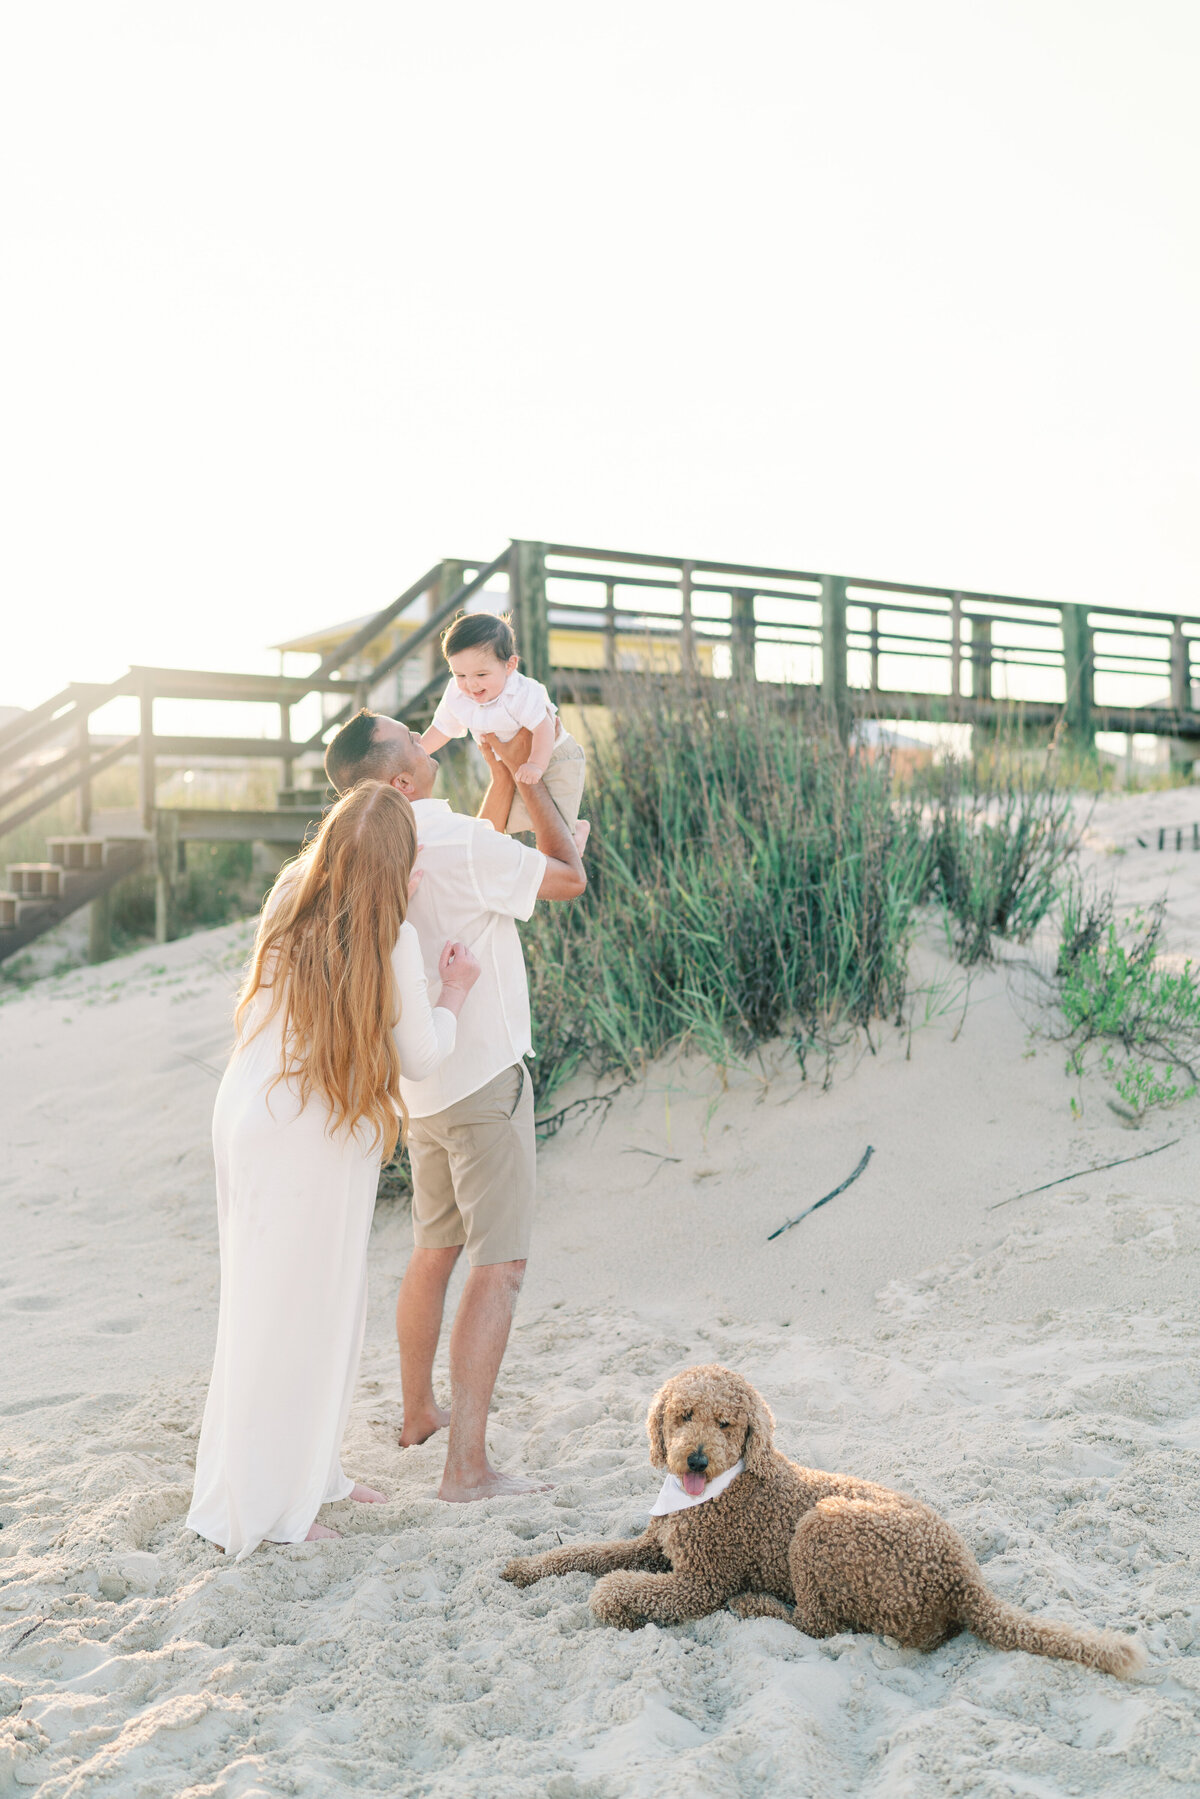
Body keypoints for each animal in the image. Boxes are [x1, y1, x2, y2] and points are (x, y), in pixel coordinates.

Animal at [503, 1367, 1144, 1676]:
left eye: (727, 1423)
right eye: (683, 1415)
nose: (695, 1460)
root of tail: (963, 1577)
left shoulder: (699, 1582)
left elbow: (612, 1588)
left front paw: (617, 1607)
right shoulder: (653, 1545)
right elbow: (582, 1554)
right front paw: (522, 1567)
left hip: (820, 1527)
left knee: (818, 1625)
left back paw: (757, 1605)